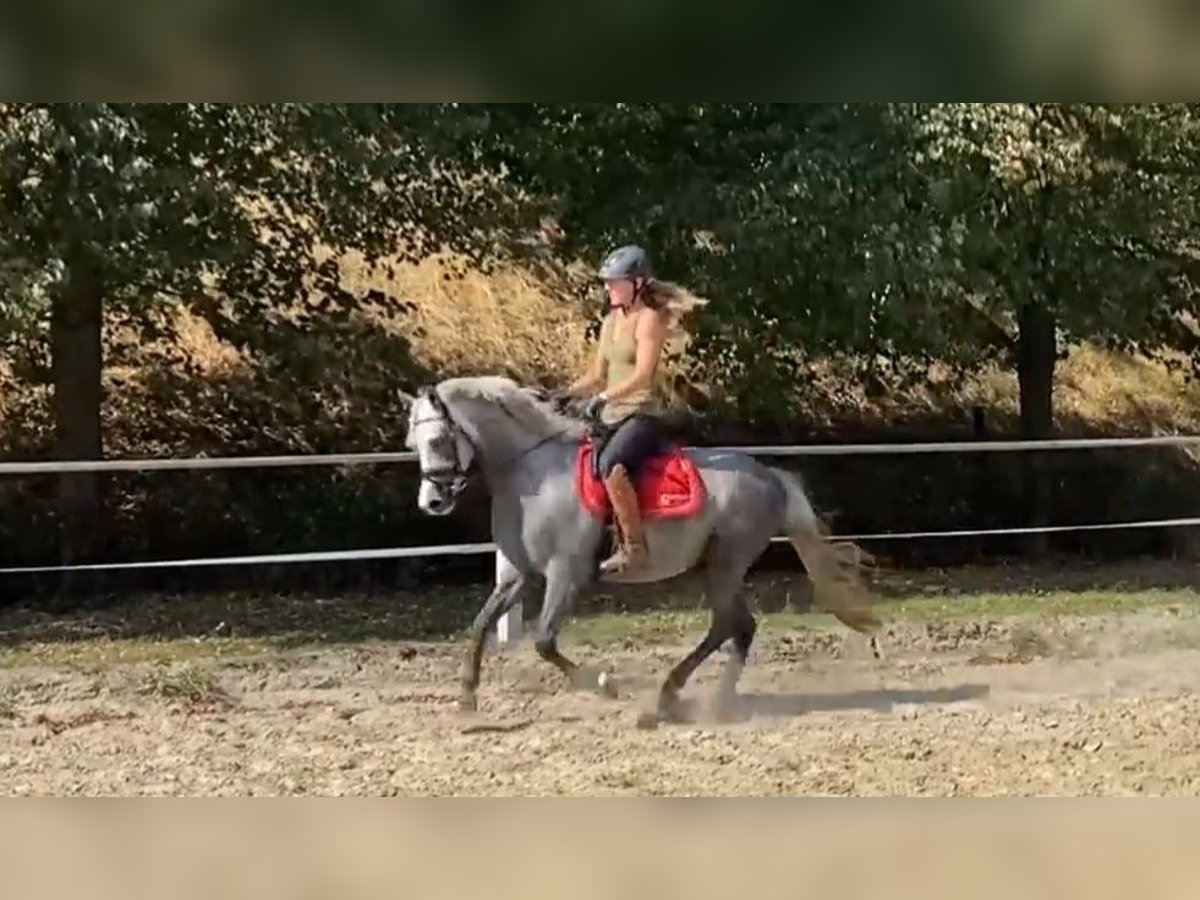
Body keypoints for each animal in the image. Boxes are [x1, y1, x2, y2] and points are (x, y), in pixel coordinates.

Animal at [398, 376, 878, 729]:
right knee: (735, 626)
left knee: (733, 624)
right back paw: (679, 697)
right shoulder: (521, 574)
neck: (535, 474)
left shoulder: (565, 574)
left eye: (437, 441)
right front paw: (466, 698)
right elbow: (480, 625)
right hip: (713, 565)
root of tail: (771, 477)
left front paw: (604, 684)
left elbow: (544, 641)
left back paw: (698, 703)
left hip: (726, 562)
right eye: (412, 445)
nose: (431, 502)